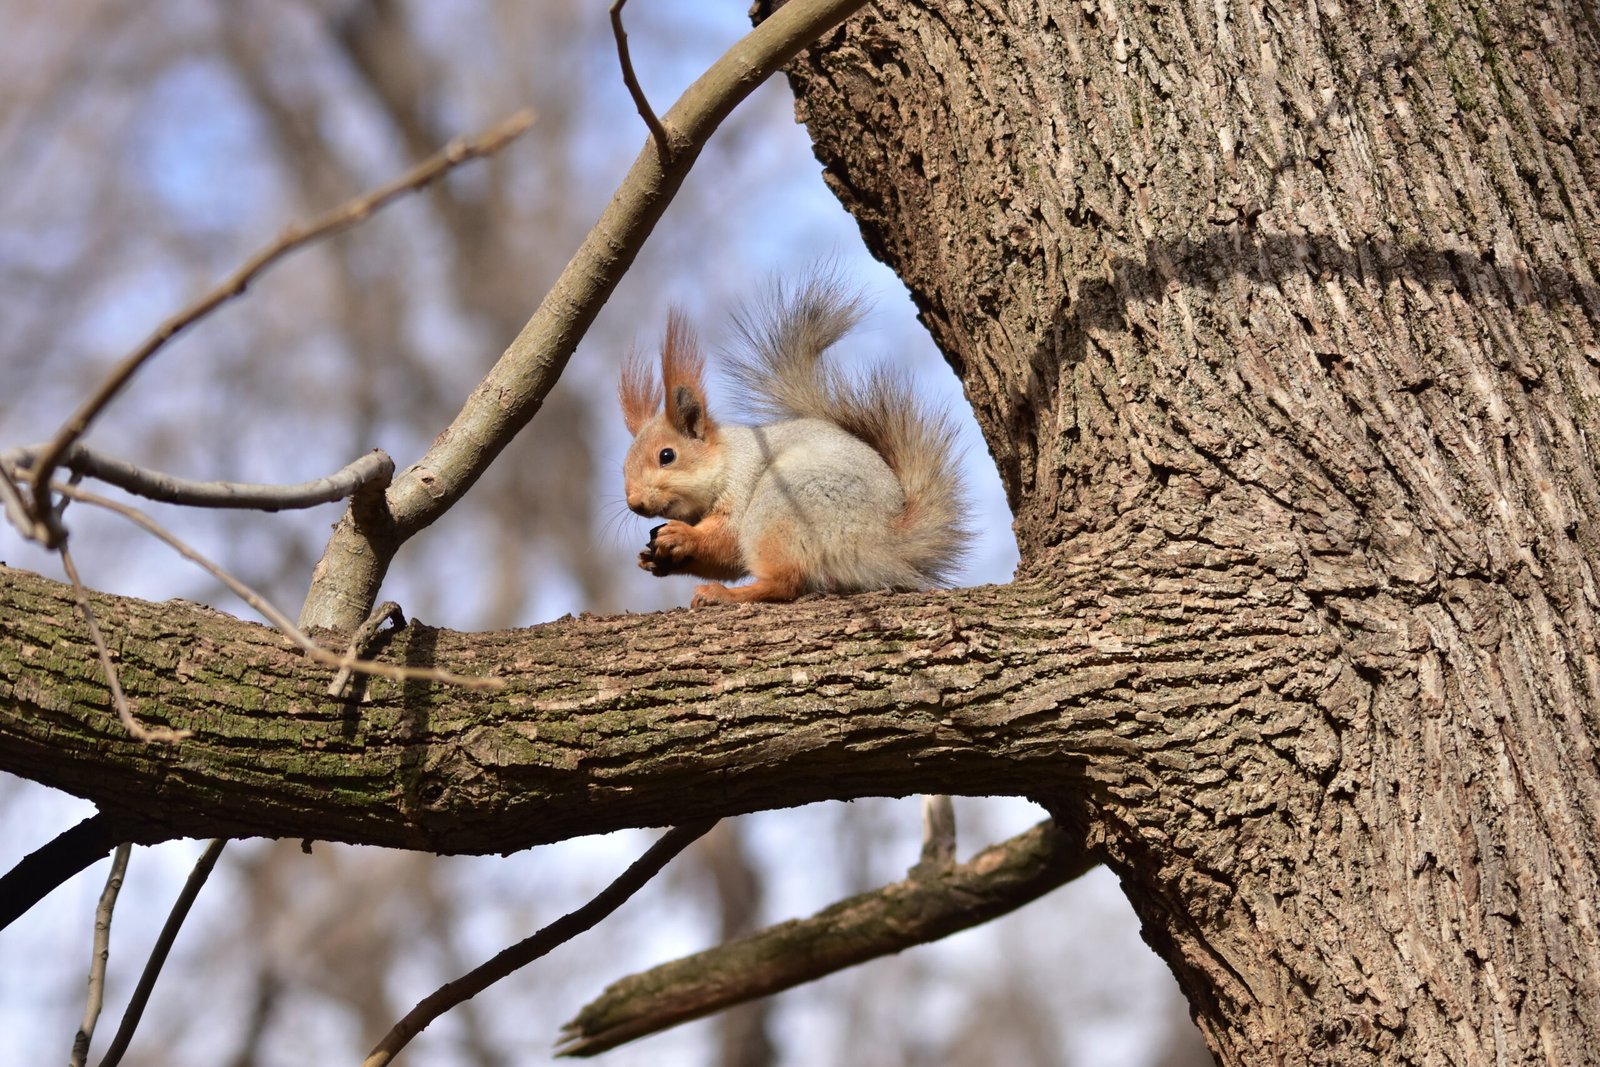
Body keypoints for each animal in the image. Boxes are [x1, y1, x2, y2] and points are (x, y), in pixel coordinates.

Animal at [617, 275, 966, 607]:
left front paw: (681, 535)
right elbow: (726, 560)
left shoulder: (741, 487)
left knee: (786, 581)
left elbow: (728, 539)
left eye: (667, 456)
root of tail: (882, 541)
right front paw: (654, 559)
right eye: (623, 466)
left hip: (783, 506)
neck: (727, 459)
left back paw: (723, 594)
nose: (635, 503)